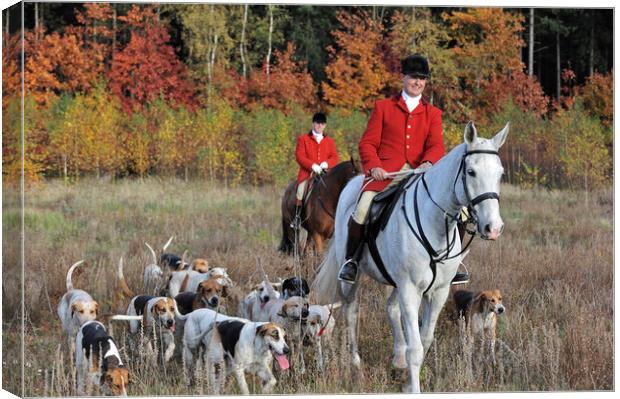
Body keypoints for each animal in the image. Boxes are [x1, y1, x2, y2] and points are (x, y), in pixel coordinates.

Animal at [312, 122, 506, 394]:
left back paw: (398, 357)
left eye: (500, 173)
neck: (434, 222)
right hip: (353, 277)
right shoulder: (410, 289)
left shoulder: (438, 292)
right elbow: (416, 346)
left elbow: (424, 339)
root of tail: (354, 181)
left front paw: (407, 377)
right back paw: (355, 362)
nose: (493, 228)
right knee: (351, 312)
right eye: (471, 172)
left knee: (391, 309)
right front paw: (413, 387)